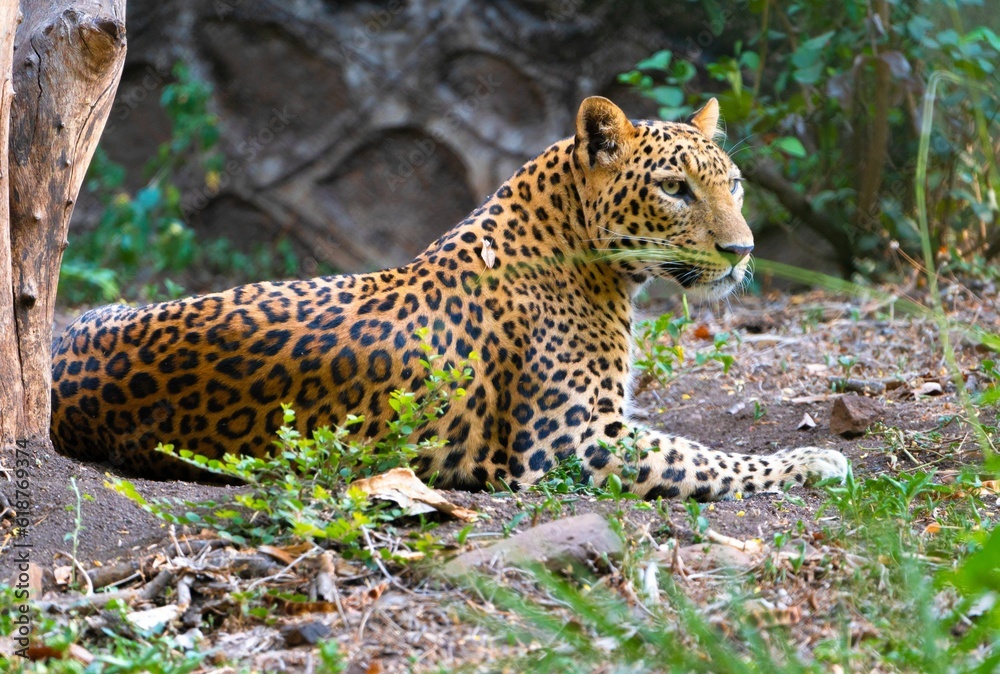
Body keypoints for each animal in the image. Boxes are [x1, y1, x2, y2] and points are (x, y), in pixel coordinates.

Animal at [50, 96, 848, 501]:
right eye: (675, 189)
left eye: (733, 184)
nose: (743, 251)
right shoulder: (570, 445)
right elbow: (713, 459)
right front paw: (815, 462)